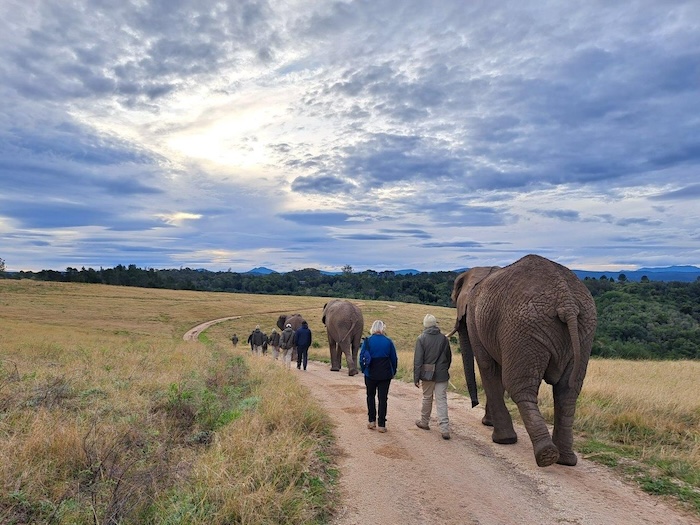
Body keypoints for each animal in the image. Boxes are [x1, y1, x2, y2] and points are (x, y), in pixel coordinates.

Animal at [450, 254, 597, 467]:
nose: (473, 404)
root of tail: (566, 301)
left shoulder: (476, 320)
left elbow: (488, 368)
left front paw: (499, 436)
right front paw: (489, 423)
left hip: (523, 329)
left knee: (521, 387)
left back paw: (543, 455)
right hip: (584, 329)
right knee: (568, 391)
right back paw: (565, 460)